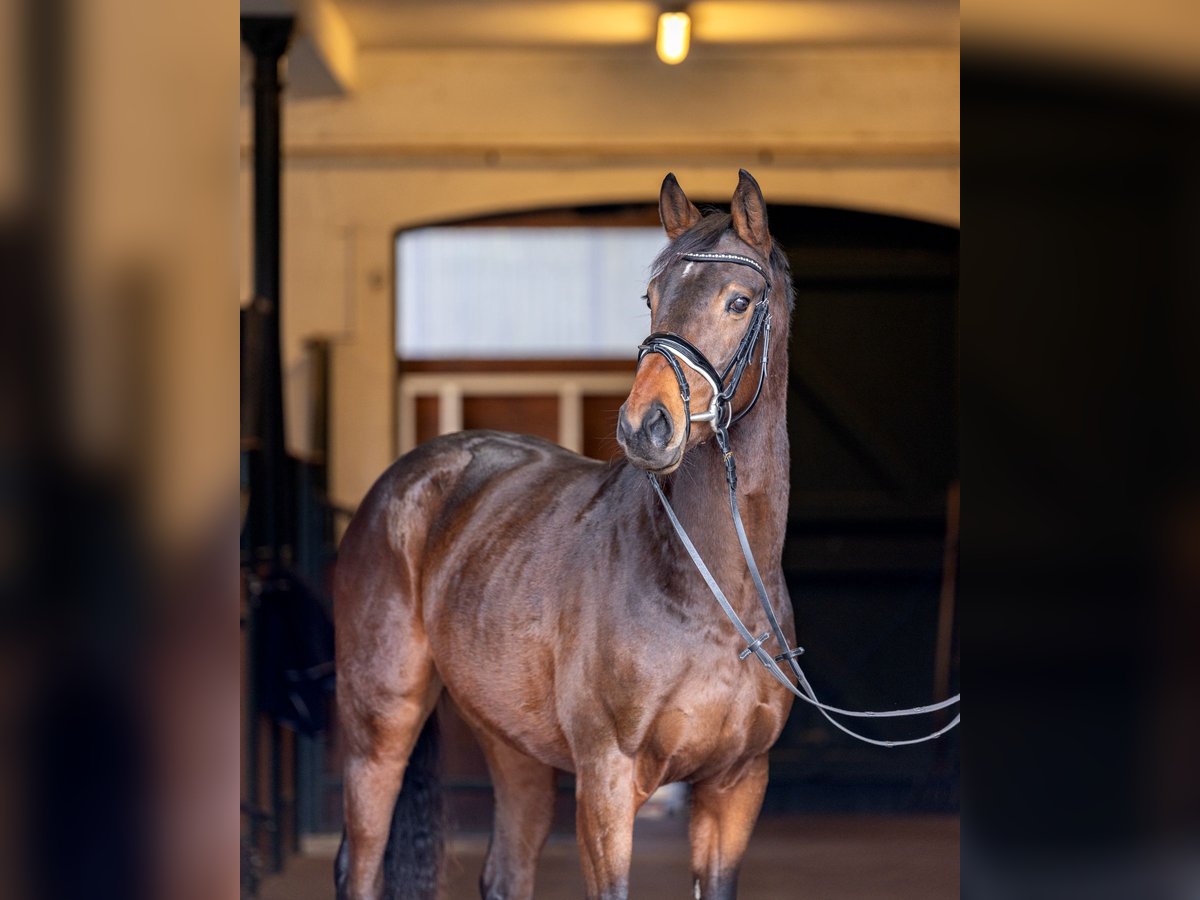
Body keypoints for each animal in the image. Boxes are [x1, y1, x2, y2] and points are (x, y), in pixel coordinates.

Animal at [338, 170, 796, 900]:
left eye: (738, 301)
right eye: (651, 297)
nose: (646, 426)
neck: (713, 597)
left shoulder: (735, 787)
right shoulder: (607, 780)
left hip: (512, 744)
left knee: (505, 872)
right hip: (379, 725)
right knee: (361, 862)